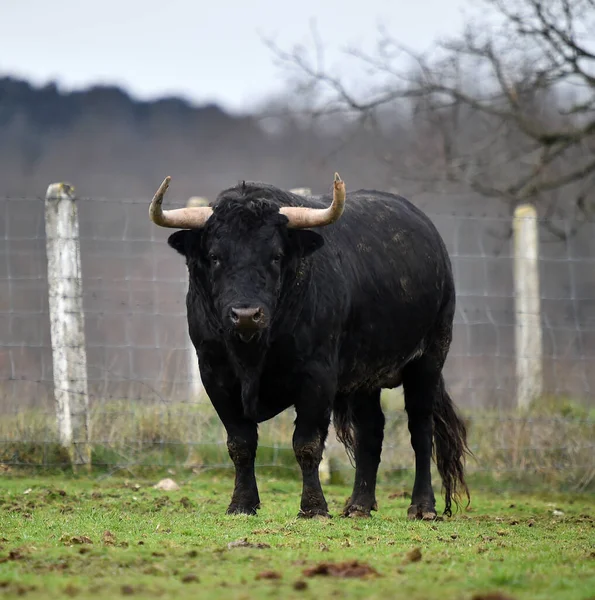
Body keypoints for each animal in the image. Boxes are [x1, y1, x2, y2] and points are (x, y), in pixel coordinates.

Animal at [151, 175, 472, 520]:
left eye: (276, 255)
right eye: (214, 256)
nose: (246, 315)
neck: (253, 354)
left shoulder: (317, 378)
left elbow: (306, 444)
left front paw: (314, 507)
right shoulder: (215, 374)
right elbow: (240, 443)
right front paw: (242, 504)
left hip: (429, 358)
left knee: (421, 429)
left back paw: (422, 506)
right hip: (365, 376)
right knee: (371, 430)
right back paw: (358, 505)